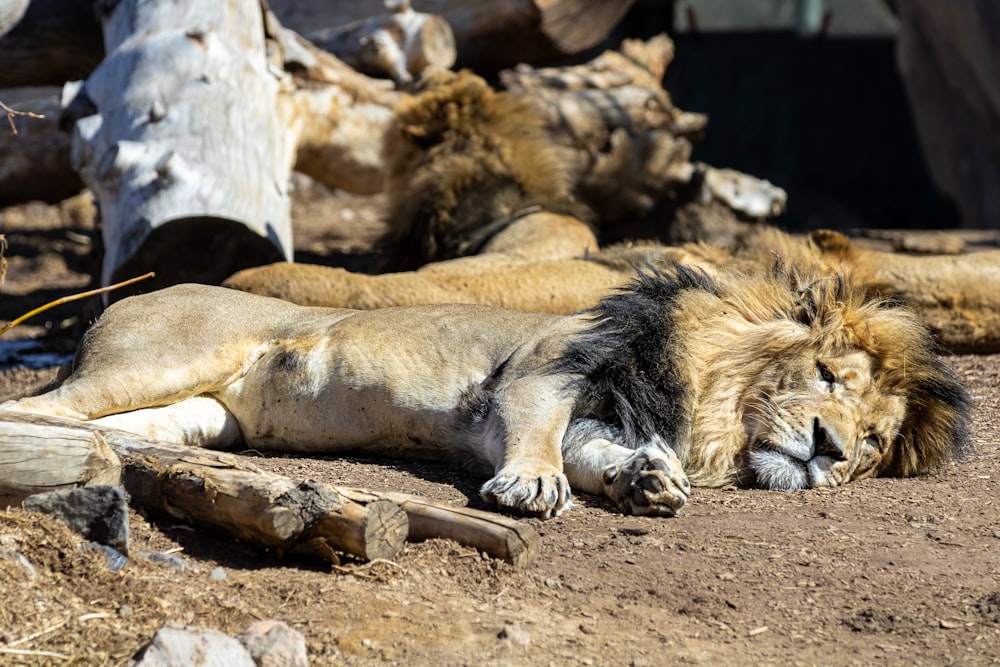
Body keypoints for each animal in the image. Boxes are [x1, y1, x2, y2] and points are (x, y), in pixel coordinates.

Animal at [0, 260, 968, 516]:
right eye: (827, 375)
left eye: (873, 443)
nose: (831, 449)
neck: (709, 407)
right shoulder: (542, 368)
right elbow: (538, 441)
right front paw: (530, 485)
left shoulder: (600, 413)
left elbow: (602, 456)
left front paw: (646, 480)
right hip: (152, 360)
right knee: (34, 405)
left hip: (200, 416)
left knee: (130, 430)